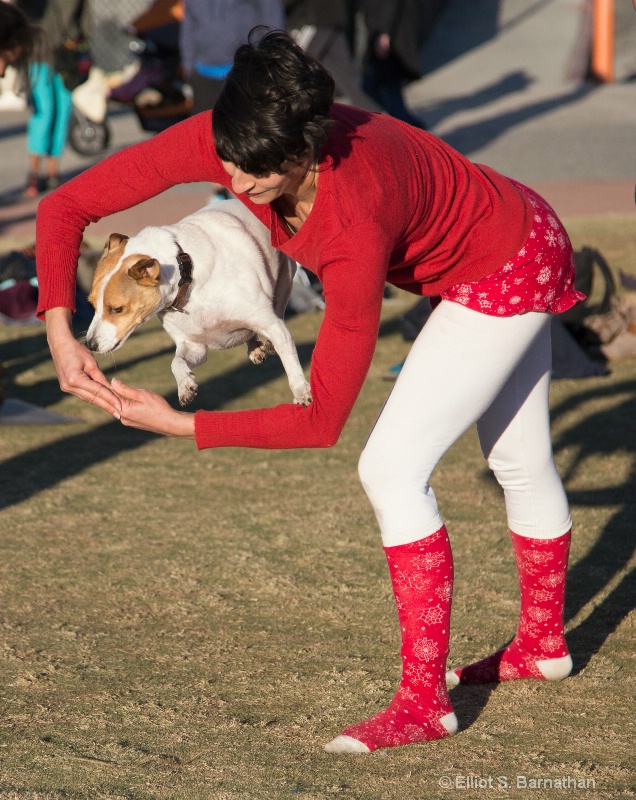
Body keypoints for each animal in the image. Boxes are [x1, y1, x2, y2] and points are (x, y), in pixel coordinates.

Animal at [84, 200, 314, 406]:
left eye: (116, 309)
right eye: (92, 304)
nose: (89, 345)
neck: (188, 278)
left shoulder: (272, 324)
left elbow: (289, 358)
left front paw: (301, 391)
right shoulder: (193, 345)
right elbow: (176, 362)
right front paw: (185, 385)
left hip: (284, 279)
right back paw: (255, 348)